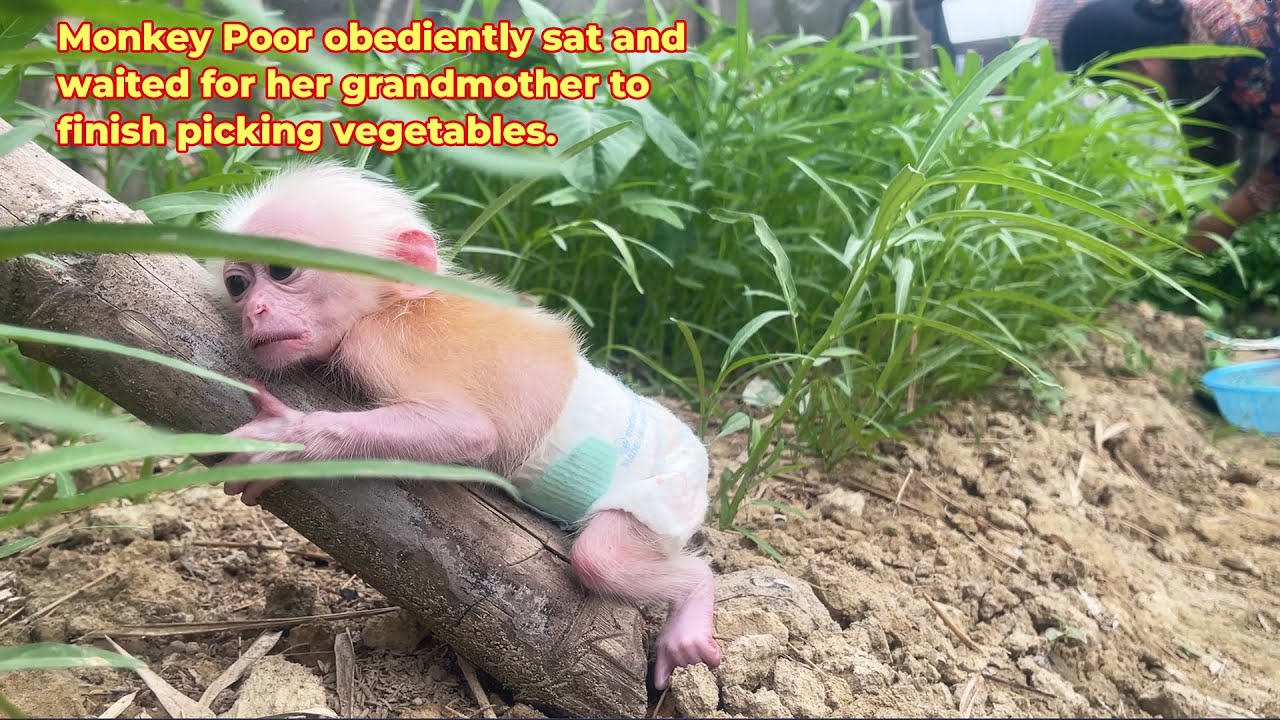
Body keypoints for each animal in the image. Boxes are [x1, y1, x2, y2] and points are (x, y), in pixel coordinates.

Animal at [205, 161, 722, 689]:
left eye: (282, 270)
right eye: (238, 285)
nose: (255, 311)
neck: (392, 304)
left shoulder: (378, 343)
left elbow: (473, 432)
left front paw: (289, 439)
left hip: (669, 492)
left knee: (603, 559)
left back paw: (694, 595)